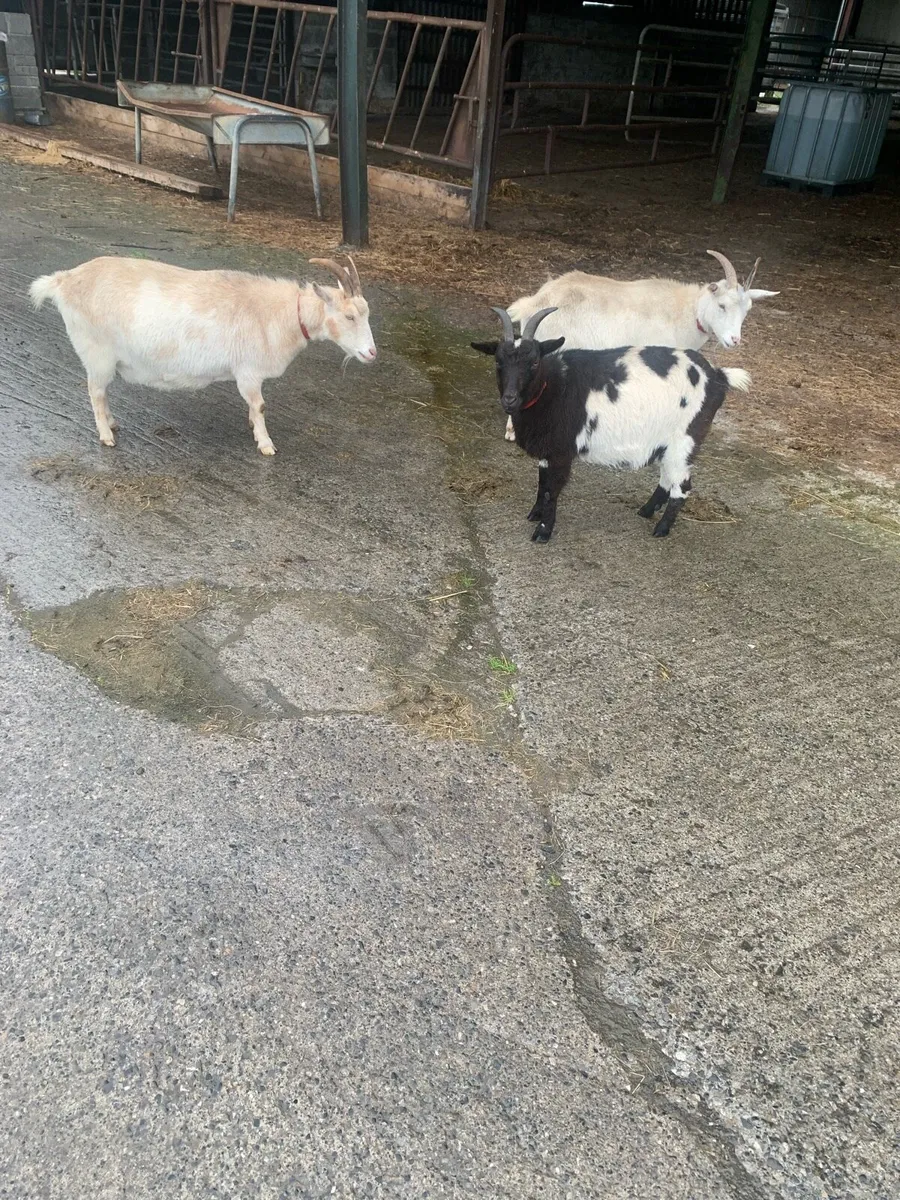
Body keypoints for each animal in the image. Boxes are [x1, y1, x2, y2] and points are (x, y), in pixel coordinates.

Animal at [29, 255, 376, 456]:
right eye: (349, 316)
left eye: (366, 313)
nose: (371, 353)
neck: (282, 314)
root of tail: (63, 281)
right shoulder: (248, 371)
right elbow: (260, 406)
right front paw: (265, 443)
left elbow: (254, 408)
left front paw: (252, 428)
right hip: (96, 351)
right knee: (95, 392)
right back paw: (106, 436)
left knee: (101, 393)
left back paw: (112, 425)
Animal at [472, 306, 751, 542]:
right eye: (498, 361)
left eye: (534, 361)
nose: (510, 399)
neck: (554, 386)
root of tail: (716, 376)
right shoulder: (547, 450)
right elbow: (542, 482)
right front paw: (535, 514)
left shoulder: (562, 451)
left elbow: (552, 489)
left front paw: (543, 532)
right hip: (667, 443)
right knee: (666, 478)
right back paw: (646, 511)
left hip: (685, 439)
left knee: (682, 486)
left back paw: (661, 529)